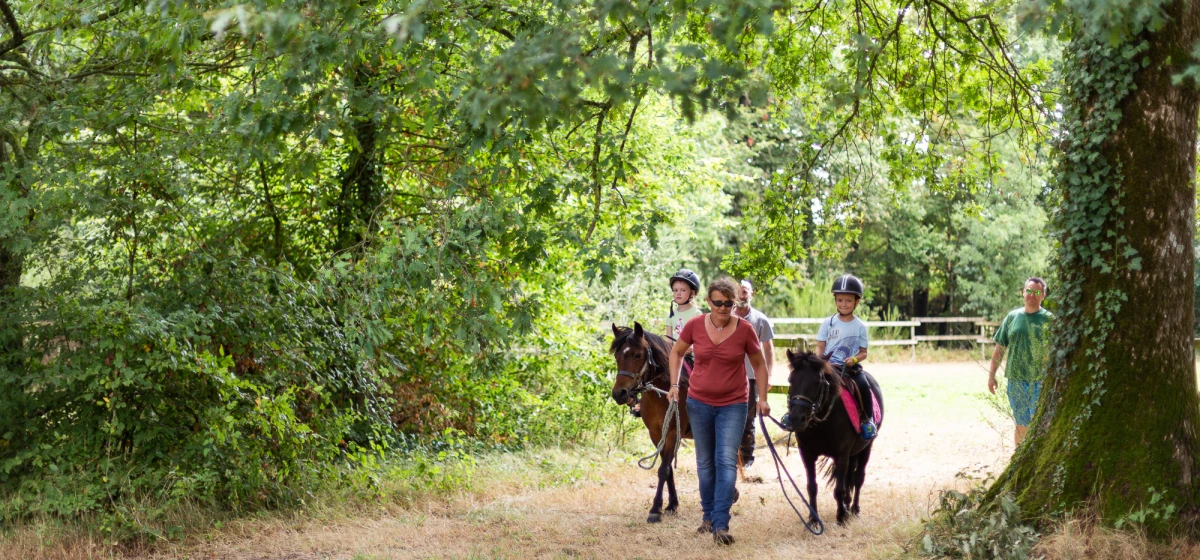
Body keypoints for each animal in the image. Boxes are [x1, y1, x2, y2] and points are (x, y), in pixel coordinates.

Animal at [609, 321, 696, 522]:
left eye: (638, 355)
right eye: (617, 355)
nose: (619, 394)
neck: (662, 393)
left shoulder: (672, 433)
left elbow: (663, 469)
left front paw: (656, 509)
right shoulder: (656, 434)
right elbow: (667, 466)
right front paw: (671, 505)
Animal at [782, 350, 888, 525]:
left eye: (817, 382)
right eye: (790, 380)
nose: (797, 418)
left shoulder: (841, 455)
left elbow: (839, 488)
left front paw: (842, 517)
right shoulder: (807, 454)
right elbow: (812, 487)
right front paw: (813, 519)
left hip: (866, 447)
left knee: (858, 478)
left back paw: (854, 509)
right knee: (849, 478)